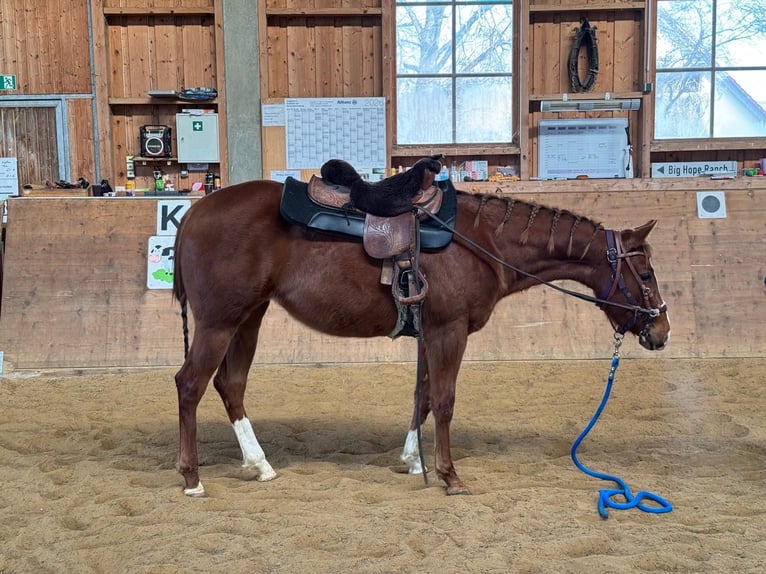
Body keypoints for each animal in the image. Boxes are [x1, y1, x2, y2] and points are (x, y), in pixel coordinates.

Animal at [172, 179, 670, 497]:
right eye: (645, 273)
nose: (661, 331)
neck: (480, 240)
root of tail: (193, 212)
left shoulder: (431, 333)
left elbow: (425, 396)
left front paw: (414, 460)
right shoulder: (450, 331)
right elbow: (445, 401)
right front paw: (450, 476)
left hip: (248, 319)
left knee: (231, 384)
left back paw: (260, 465)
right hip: (219, 323)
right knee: (191, 384)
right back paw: (192, 478)